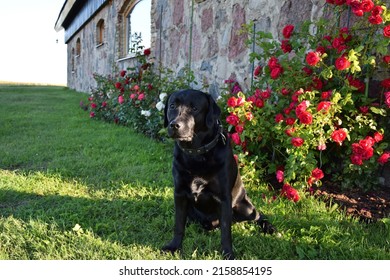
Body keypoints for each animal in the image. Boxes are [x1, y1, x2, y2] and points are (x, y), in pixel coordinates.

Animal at [161, 89, 274, 258]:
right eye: (173, 106)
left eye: (195, 109)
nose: (174, 125)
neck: (197, 155)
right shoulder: (180, 194)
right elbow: (178, 224)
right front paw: (174, 246)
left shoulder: (224, 198)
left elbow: (226, 232)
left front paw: (228, 254)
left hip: (245, 207)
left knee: (258, 215)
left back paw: (268, 227)